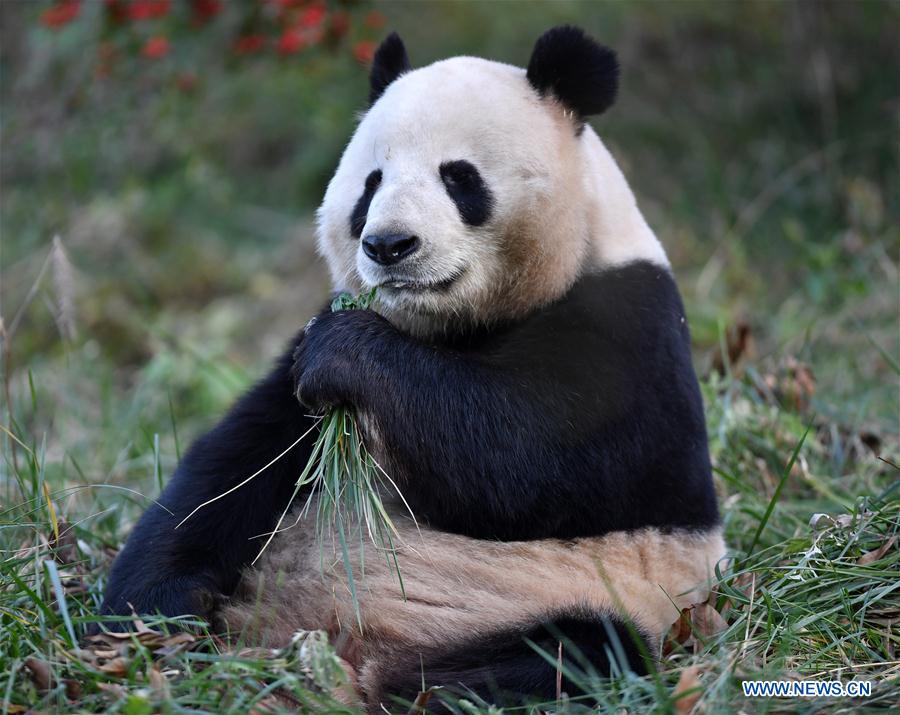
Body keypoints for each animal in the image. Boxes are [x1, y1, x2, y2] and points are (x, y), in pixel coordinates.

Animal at [102, 25, 728, 712]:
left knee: (582, 649)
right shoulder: (299, 369)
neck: (453, 326)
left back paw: (425, 687)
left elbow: (532, 464)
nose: (388, 245)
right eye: (371, 183)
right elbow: (237, 465)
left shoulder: (628, 329)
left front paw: (350, 351)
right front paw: (153, 612)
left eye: (459, 178)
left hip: (585, 596)